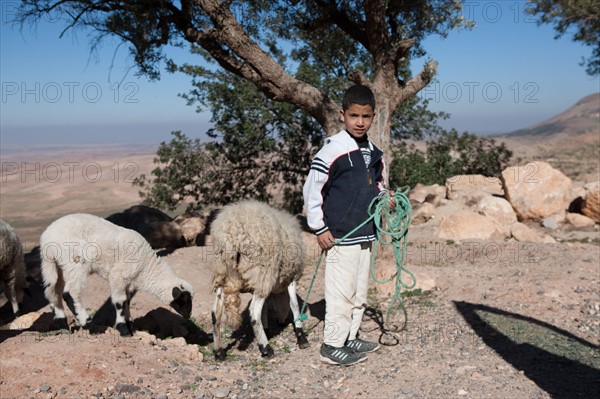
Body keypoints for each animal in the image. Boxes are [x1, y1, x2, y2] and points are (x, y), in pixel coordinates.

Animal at [39, 214, 195, 336]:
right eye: (184, 299)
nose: (188, 315)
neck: (146, 268)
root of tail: (47, 238)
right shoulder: (118, 275)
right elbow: (120, 302)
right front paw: (123, 329)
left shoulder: (128, 282)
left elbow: (127, 301)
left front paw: (130, 325)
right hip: (76, 261)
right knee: (70, 293)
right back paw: (89, 325)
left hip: (56, 265)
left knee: (53, 291)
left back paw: (62, 324)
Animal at [210, 200, 310, 360]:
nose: (281, 322)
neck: (279, 290)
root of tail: (231, 231)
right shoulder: (291, 278)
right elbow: (294, 305)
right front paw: (301, 337)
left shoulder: (256, 286)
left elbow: (265, 308)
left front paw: (266, 329)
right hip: (263, 271)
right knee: (253, 314)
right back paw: (266, 349)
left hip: (222, 271)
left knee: (215, 314)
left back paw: (219, 351)